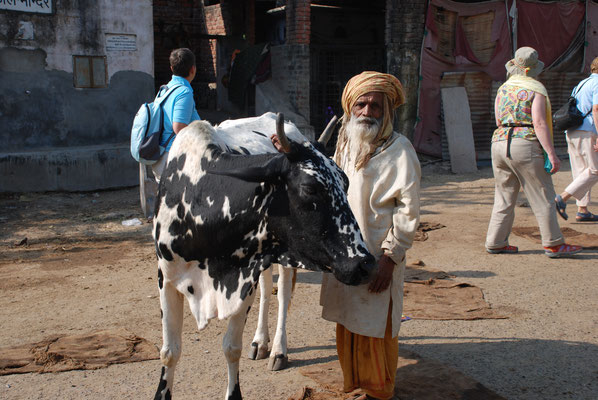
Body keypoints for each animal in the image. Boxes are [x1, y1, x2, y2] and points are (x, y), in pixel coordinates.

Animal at [152, 111, 372, 398]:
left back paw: (278, 349)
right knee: (268, 289)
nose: (365, 264)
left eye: (345, 183)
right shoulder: (166, 280)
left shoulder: (243, 280)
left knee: (283, 295)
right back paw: (260, 341)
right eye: (310, 188)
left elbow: (231, 348)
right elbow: (170, 352)